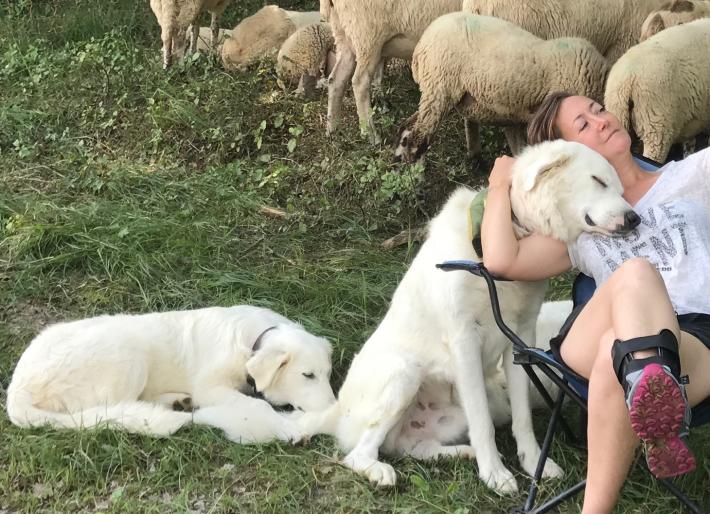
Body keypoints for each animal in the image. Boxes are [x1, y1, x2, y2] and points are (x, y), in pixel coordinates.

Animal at [325, 0, 462, 144]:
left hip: (342, 34)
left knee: (336, 79)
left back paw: (332, 129)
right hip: (367, 36)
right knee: (360, 82)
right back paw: (371, 134)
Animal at [393, 13, 609, 163]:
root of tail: (421, 45)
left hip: (439, 91)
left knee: (409, 124)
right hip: (439, 86)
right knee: (419, 132)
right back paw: (412, 166)